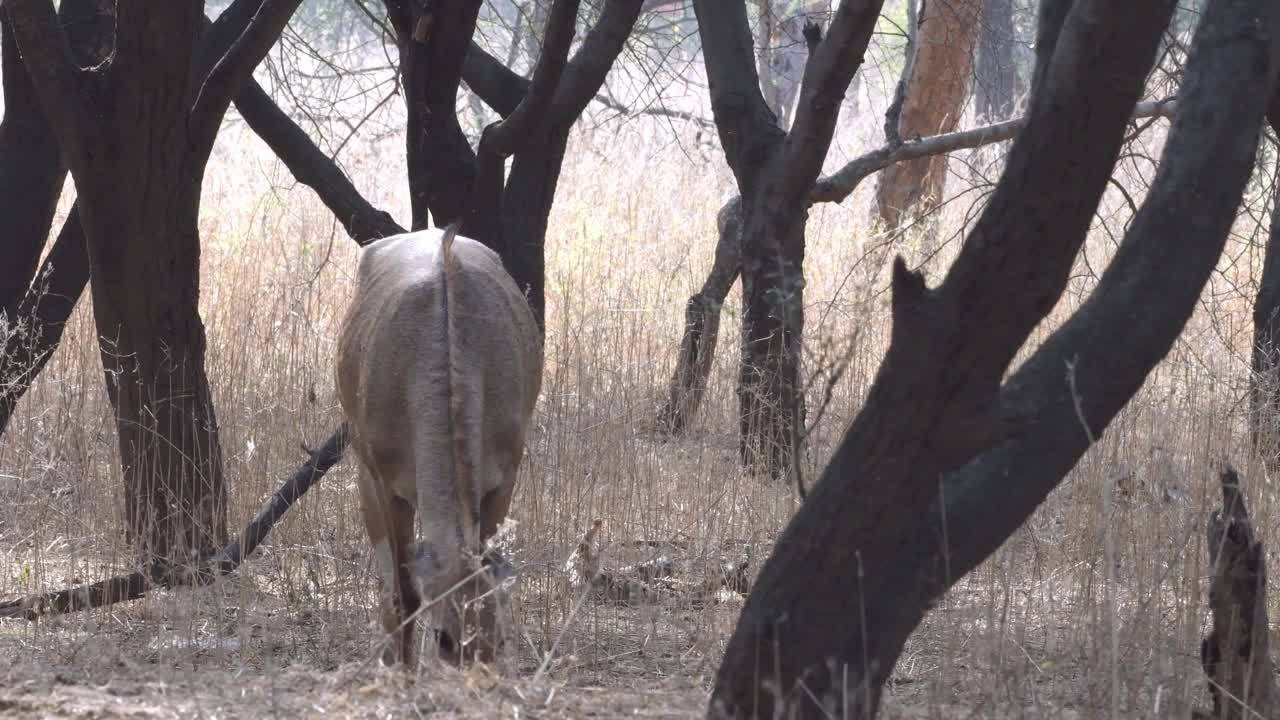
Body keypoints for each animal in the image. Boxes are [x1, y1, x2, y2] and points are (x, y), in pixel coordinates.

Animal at [335, 222, 540, 661]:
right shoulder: (387, 486)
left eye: (498, 640)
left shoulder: (503, 478)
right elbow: (405, 595)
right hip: (364, 472)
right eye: (444, 637)